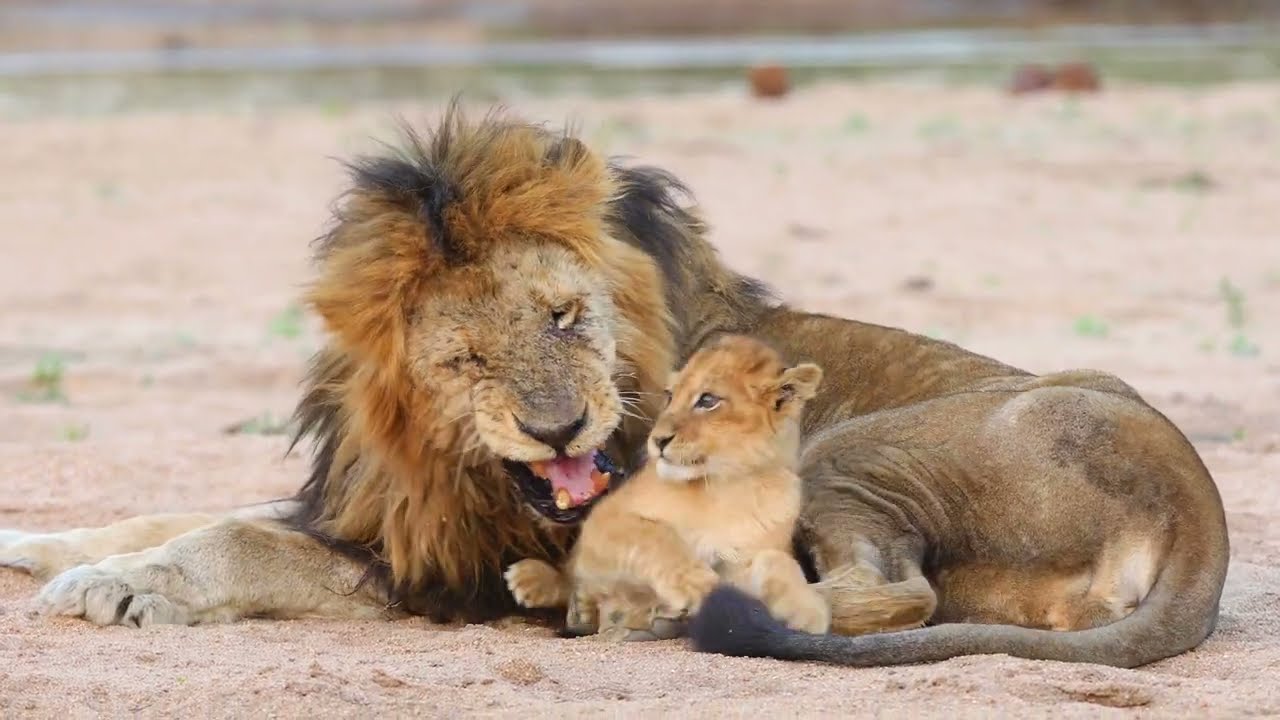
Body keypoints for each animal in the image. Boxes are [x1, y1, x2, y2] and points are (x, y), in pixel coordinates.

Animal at [506, 335, 829, 637]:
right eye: (670, 396)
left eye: (707, 400)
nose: (657, 440)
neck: (727, 484)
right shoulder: (605, 518)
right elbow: (657, 536)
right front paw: (698, 585)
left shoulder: (740, 560)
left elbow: (778, 562)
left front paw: (807, 610)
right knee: (571, 577)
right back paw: (540, 585)